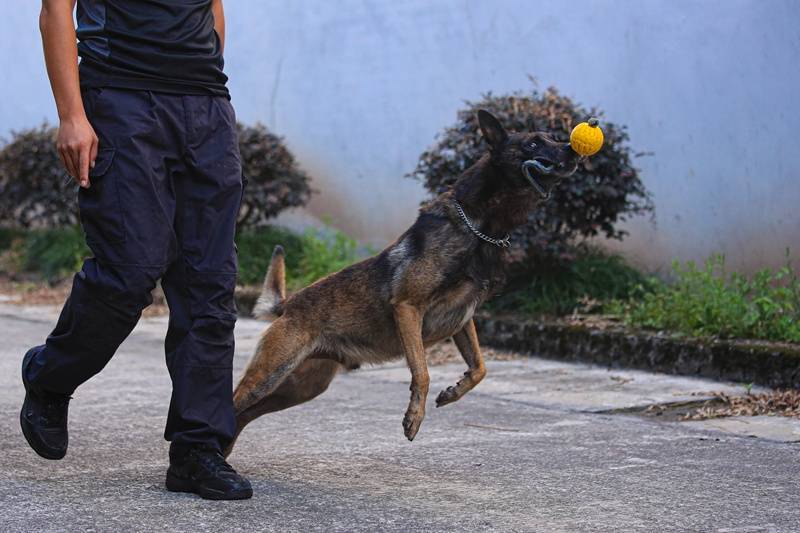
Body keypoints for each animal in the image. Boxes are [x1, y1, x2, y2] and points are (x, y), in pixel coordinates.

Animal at [225, 109, 580, 454]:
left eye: (553, 137)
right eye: (533, 143)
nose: (572, 148)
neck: (478, 227)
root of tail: (289, 304)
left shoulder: (463, 318)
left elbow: (480, 367)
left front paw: (453, 392)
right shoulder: (409, 308)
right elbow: (422, 371)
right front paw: (414, 417)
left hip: (301, 387)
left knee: (243, 414)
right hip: (271, 374)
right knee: (235, 402)